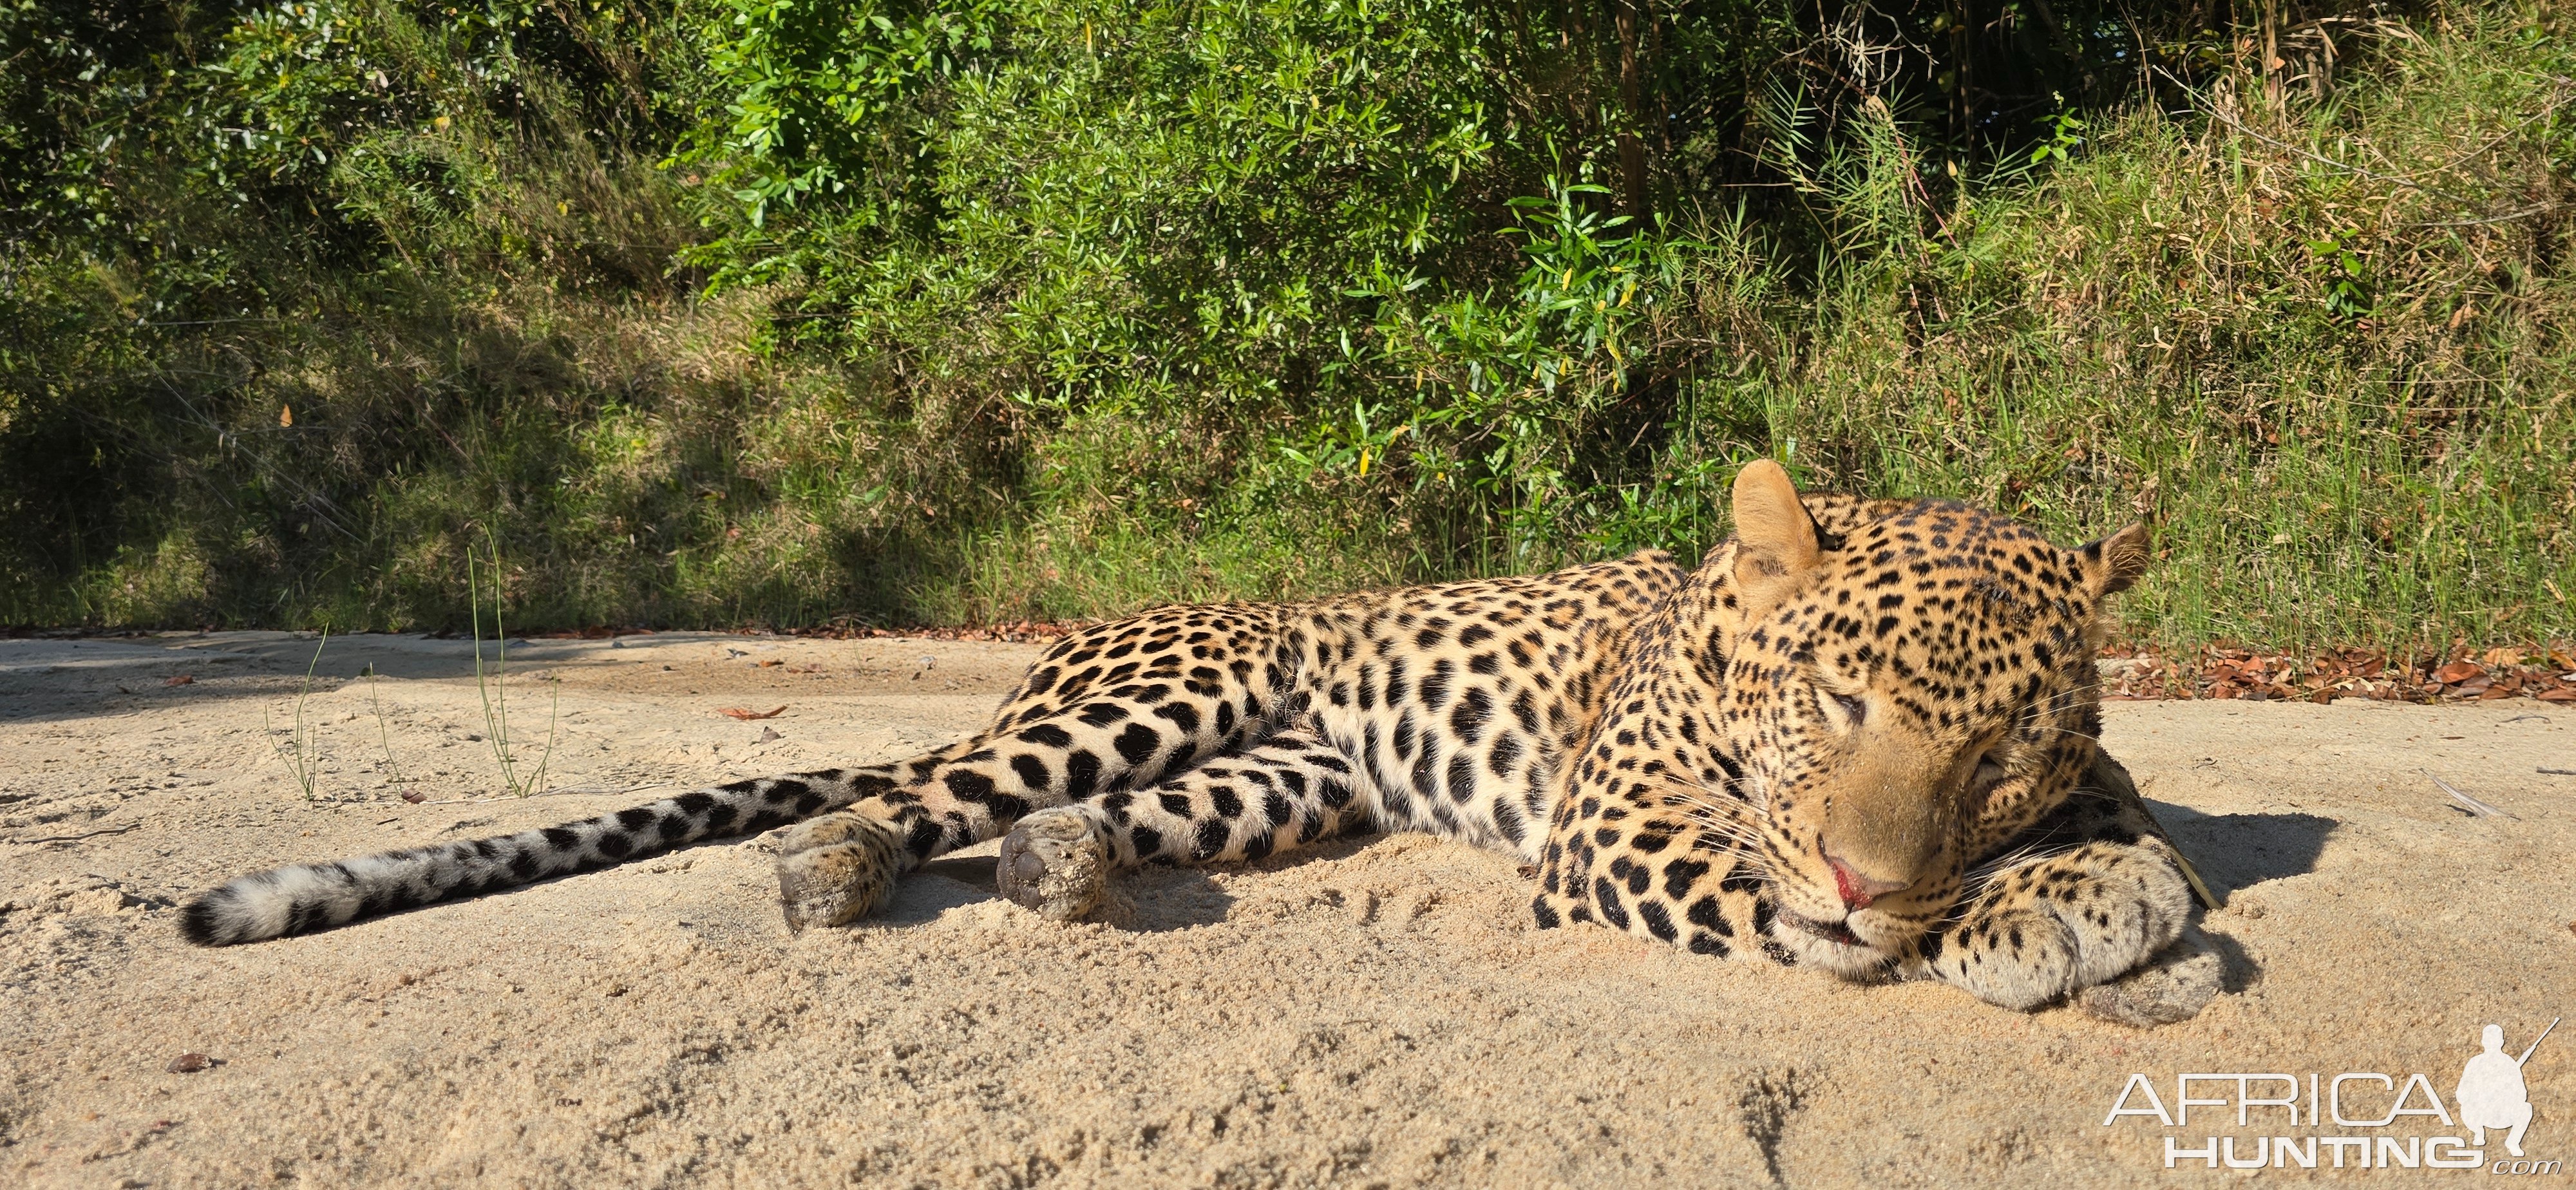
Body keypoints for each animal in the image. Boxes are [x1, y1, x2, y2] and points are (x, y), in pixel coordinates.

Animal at [182, 464, 2226, 1025]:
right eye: (1838, 707)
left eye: (2004, 742)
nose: (1883, 872)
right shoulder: (1625, 826)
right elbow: (1798, 904)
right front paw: (2011, 926)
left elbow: (2139, 815)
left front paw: (2106, 887)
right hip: (1154, 694)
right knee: (900, 797)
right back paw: (828, 863)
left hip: (1283, 773)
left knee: (1050, 829)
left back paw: (1063, 870)